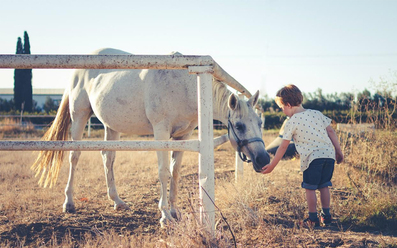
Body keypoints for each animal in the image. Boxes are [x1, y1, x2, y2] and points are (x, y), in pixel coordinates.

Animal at [32, 48, 270, 227]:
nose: (264, 160)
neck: (184, 85)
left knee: (108, 157)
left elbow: (175, 172)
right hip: (79, 116)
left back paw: (117, 201)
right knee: (74, 156)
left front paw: (175, 211)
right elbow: (164, 172)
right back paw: (69, 203)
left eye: (259, 124)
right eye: (239, 126)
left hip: (111, 126)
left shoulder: (183, 135)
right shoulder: (161, 131)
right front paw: (164, 216)